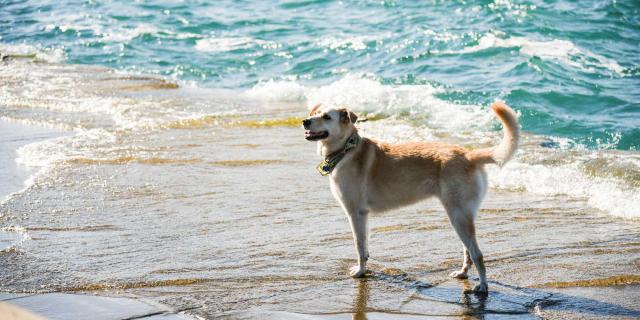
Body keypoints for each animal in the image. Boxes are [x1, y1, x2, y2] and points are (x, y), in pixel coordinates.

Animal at [302, 100, 520, 292]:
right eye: (315, 113)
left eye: (326, 117)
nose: (305, 121)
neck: (347, 149)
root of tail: (469, 154)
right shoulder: (362, 216)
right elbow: (365, 247)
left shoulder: (356, 213)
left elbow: (359, 246)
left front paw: (361, 271)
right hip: (462, 216)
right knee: (468, 251)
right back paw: (462, 273)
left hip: (458, 215)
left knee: (478, 254)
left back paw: (483, 285)